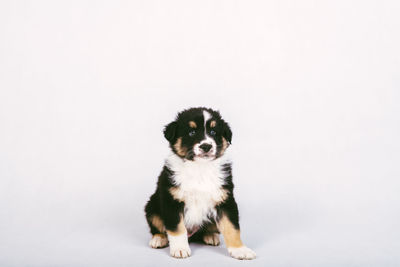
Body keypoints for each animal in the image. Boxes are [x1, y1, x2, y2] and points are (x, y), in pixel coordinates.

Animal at [144, 108, 256, 260]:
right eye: (191, 132)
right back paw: (158, 239)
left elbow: (232, 227)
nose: (206, 146)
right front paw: (180, 249)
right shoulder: (172, 200)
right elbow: (177, 228)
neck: (200, 168)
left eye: (213, 132)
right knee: (158, 227)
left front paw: (240, 250)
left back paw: (211, 236)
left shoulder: (225, 200)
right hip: (152, 207)